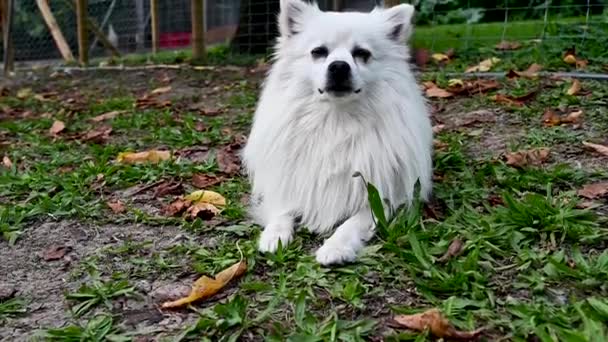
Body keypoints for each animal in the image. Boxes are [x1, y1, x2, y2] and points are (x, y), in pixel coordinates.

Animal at [242, 0, 432, 266]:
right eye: (318, 52)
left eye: (362, 54)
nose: (339, 66)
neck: (336, 120)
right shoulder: (289, 182)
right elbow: (282, 209)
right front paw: (274, 235)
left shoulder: (382, 195)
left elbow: (354, 222)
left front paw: (336, 247)